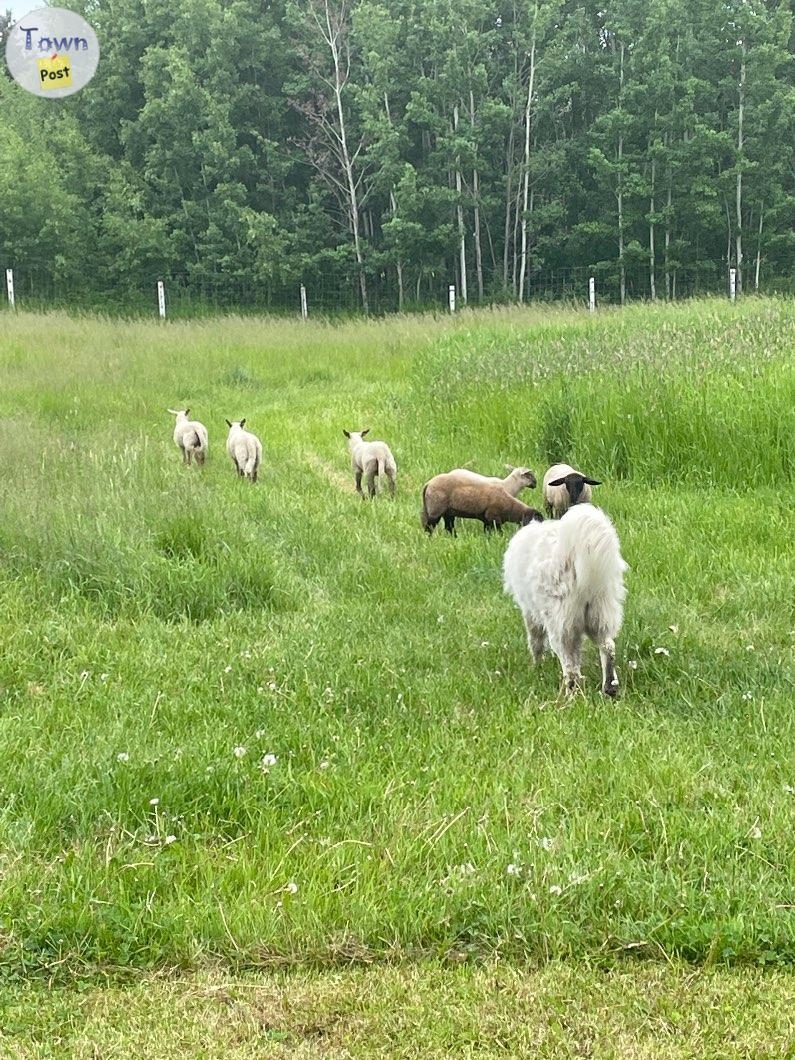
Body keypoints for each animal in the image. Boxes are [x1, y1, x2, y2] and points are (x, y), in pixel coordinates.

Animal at [504, 502, 627, 695]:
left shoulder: (530, 611)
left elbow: (535, 641)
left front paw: (536, 666)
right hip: (600, 613)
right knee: (607, 647)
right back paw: (609, 688)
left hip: (561, 623)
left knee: (570, 667)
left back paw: (571, 694)